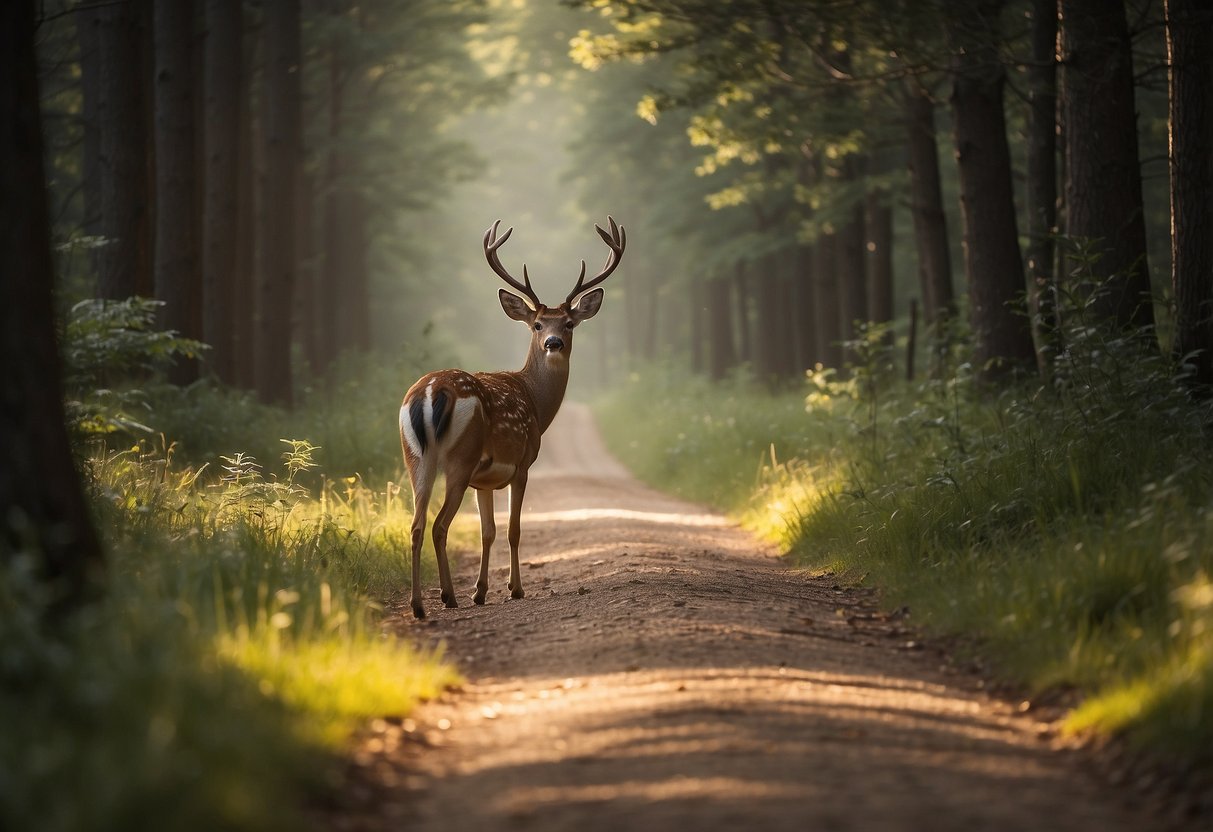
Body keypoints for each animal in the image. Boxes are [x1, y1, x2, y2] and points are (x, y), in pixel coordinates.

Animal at [397, 214, 625, 618]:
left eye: (569, 323)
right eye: (537, 324)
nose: (553, 343)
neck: (535, 403)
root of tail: (429, 392)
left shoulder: (483, 480)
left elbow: (487, 531)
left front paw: (481, 591)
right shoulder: (521, 463)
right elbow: (513, 529)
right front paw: (514, 589)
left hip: (415, 457)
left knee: (416, 524)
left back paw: (419, 605)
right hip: (459, 456)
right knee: (439, 525)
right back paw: (447, 596)